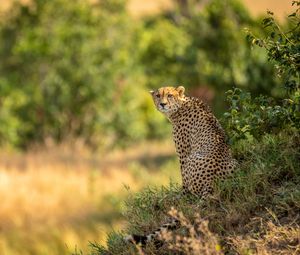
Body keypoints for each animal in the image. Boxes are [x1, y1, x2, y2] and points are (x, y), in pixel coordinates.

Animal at [125, 86, 237, 245]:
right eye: (158, 95)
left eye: (169, 95)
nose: (162, 104)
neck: (181, 105)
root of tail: (211, 182)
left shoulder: (184, 154)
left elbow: (183, 180)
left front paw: (178, 196)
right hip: (234, 163)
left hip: (192, 159)